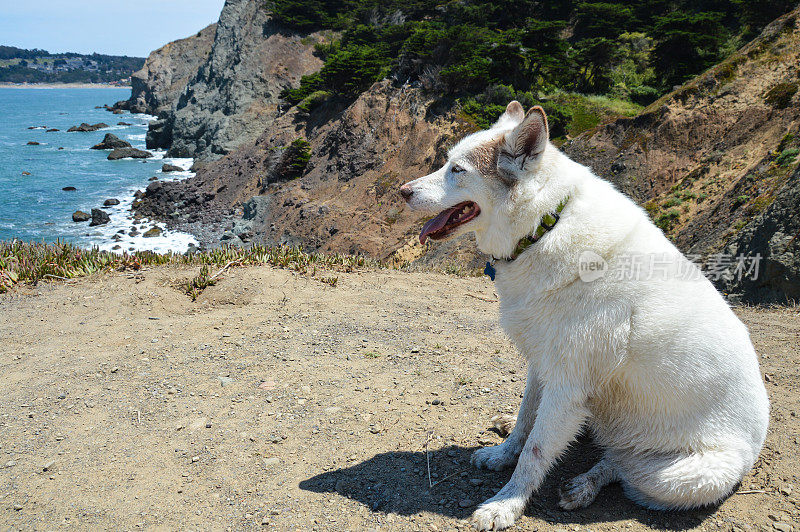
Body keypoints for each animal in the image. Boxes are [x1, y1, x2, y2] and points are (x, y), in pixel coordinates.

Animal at [400, 102, 768, 528]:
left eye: (457, 170)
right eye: (446, 163)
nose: (402, 192)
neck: (545, 226)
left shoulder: (568, 385)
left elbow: (535, 453)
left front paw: (505, 504)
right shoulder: (541, 363)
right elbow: (526, 419)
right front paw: (502, 453)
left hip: (682, 477)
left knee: (620, 465)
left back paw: (585, 485)